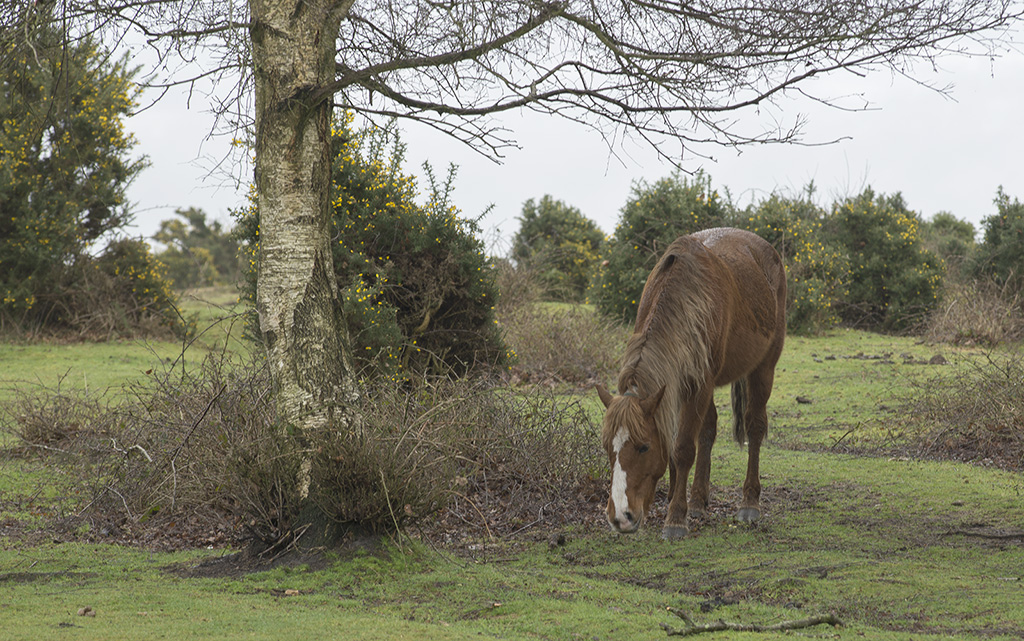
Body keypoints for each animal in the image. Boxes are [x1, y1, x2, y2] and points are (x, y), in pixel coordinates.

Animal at [598, 227, 786, 536]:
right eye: (607, 447)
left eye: (643, 447)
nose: (620, 517)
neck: (686, 297)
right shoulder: (678, 385)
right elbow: (685, 442)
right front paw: (682, 502)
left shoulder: (698, 386)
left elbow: (684, 448)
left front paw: (675, 517)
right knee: (708, 430)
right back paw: (698, 501)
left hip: (763, 368)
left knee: (755, 427)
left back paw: (749, 502)